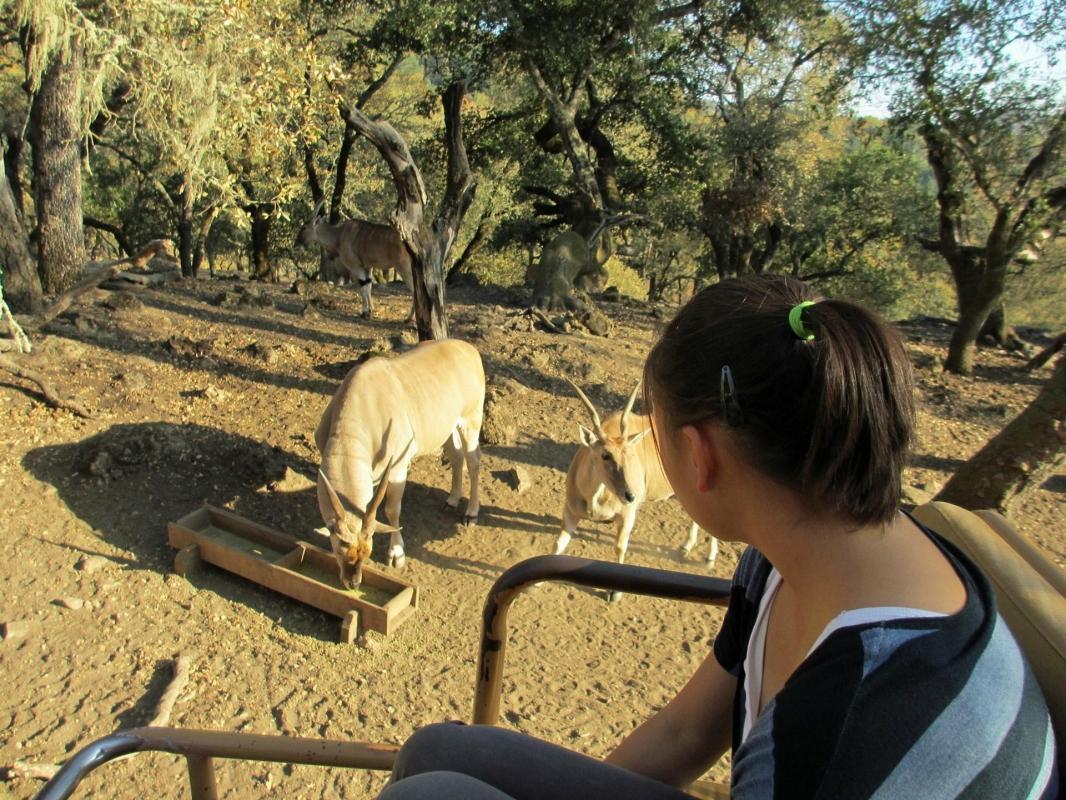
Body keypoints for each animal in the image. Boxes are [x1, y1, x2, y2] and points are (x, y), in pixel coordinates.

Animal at [313, 339, 486, 588]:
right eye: (339, 549)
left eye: (367, 553)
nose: (353, 583)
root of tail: (470, 350)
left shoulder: (397, 468)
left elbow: (392, 510)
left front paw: (396, 554)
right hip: (446, 428)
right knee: (456, 456)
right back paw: (452, 500)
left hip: (470, 420)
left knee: (473, 461)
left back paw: (471, 513)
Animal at [554, 381, 720, 601]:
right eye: (605, 455)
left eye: (630, 454)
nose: (630, 495)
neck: (594, 498)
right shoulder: (570, 511)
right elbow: (559, 543)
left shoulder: (627, 515)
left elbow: (619, 546)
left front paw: (615, 593)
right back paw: (686, 546)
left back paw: (709, 556)